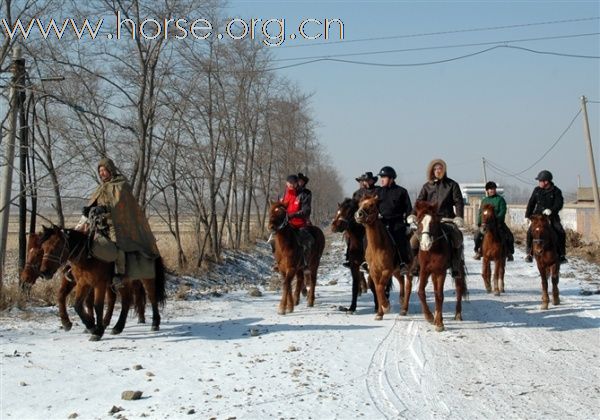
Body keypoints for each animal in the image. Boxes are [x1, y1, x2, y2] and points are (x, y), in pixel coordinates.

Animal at [412, 201, 468, 332]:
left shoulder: (440, 272)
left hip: (457, 268)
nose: (425, 244)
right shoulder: (424, 271)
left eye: (432, 223)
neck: (432, 250)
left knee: (459, 288)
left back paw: (458, 314)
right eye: (419, 222)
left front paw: (439, 323)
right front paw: (429, 316)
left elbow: (439, 295)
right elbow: (421, 292)